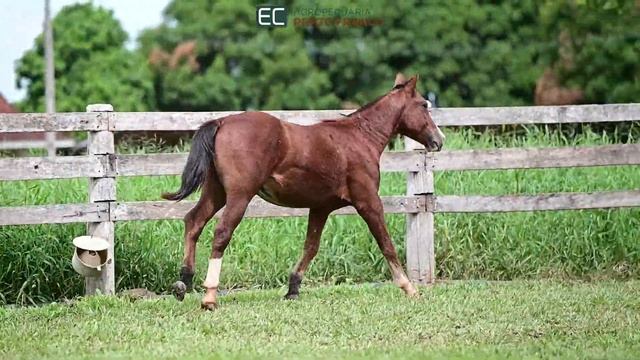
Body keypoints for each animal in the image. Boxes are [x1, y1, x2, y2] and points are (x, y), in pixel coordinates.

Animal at [164, 74, 444, 310]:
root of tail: (222, 122)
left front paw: (293, 289)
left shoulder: (321, 207)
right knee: (221, 233)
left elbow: (311, 246)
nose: (438, 140)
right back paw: (209, 296)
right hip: (239, 196)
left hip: (216, 192)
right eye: (423, 105)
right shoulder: (368, 201)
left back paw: (183, 282)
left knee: (194, 221)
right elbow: (386, 243)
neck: (360, 139)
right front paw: (409, 288)